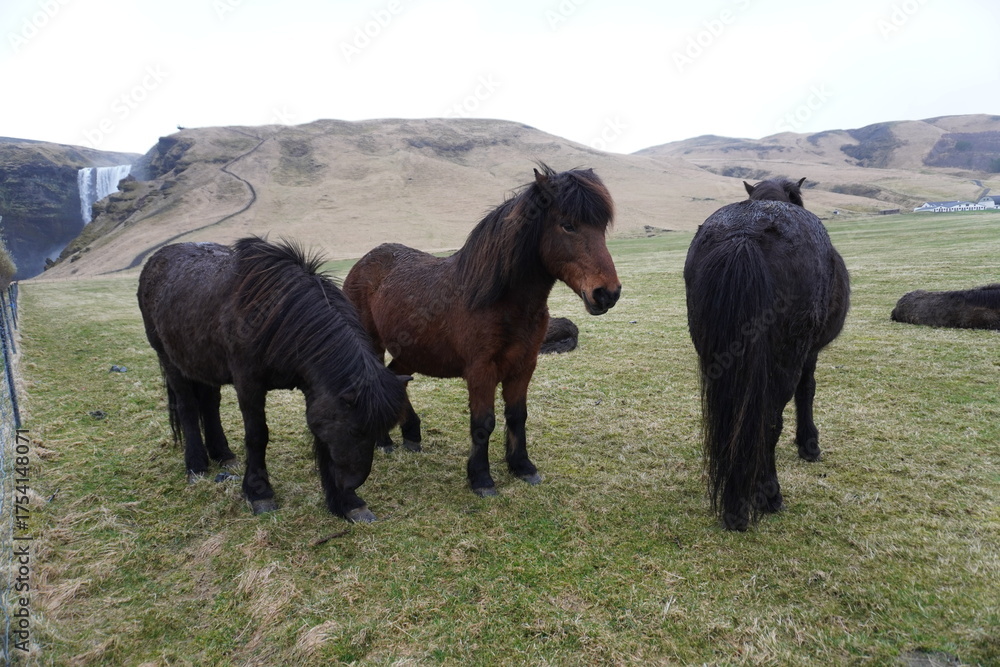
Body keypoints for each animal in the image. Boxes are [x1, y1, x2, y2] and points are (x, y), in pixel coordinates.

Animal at [137, 237, 408, 522]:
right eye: (356, 430)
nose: (350, 484)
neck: (275, 316)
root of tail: (157, 258)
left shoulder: (315, 391)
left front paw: (347, 503)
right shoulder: (248, 385)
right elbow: (257, 436)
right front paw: (259, 493)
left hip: (204, 366)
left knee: (210, 406)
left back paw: (223, 455)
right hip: (170, 361)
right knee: (187, 408)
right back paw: (196, 466)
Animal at [343, 163, 620, 496]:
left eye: (602, 227)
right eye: (568, 226)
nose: (607, 294)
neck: (500, 300)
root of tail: (361, 264)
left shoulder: (524, 366)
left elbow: (517, 415)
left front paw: (522, 466)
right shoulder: (481, 370)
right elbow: (483, 423)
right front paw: (481, 478)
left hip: (410, 351)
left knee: (397, 378)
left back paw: (411, 433)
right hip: (373, 343)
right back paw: (384, 440)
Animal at [684, 178, 850, 531]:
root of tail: (745, 235)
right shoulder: (809, 354)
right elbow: (807, 391)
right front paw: (809, 444)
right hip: (784, 361)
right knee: (769, 421)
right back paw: (766, 495)